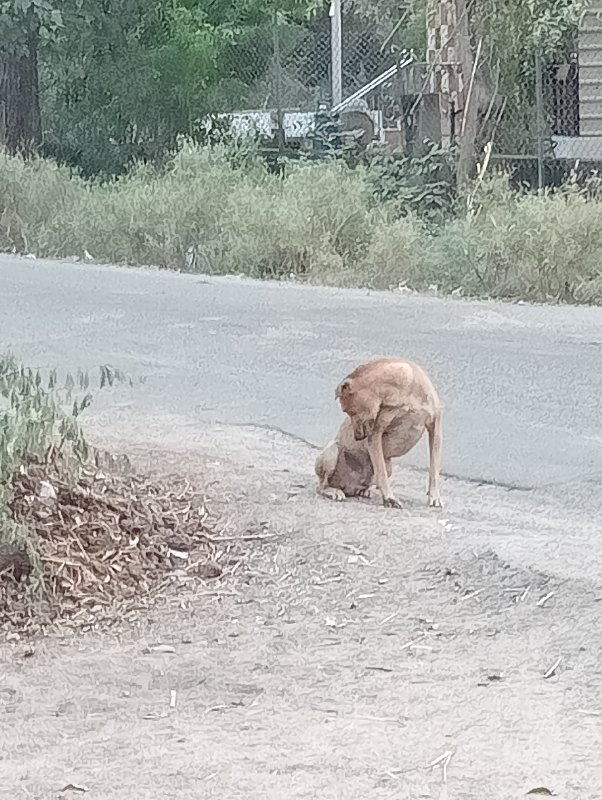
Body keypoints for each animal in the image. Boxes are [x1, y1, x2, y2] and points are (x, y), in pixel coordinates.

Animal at [314, 360, 440, 510]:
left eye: (348, 411)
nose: (357, 437)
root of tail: (349, 487)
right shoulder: (375, 435)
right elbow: (381, 473)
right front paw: (389, 498)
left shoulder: (435, 428)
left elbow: (434, 467)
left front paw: (434, 496)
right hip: (332, 452)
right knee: (321, 486)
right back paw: (333, 491)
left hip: (388, 466)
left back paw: (364, 490)